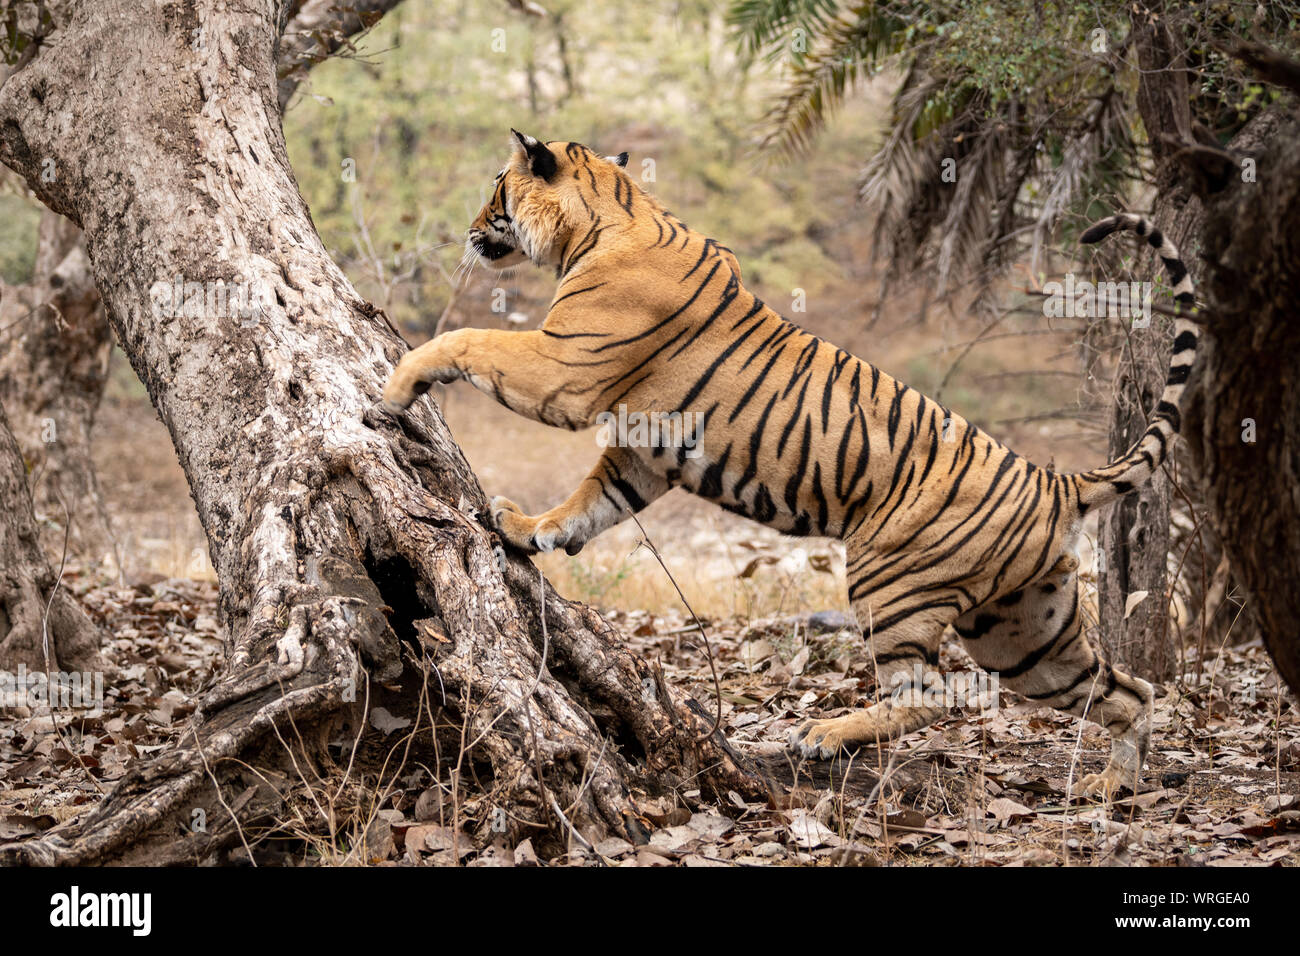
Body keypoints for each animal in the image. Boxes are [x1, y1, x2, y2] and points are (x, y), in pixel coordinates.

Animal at [382, 130, 1196, 796]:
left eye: (496, 187)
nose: (469, 230)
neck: (605, 219)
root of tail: (1055, 481)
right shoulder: (640, 450)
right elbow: (588, 501)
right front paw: (526, 529)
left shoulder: (564, 369)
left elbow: (471, 341)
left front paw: (397, 385)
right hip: (1026, 632)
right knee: (1128, 691)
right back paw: (1113, 785)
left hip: (893, 580)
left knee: (933, 694)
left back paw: (823, 735)